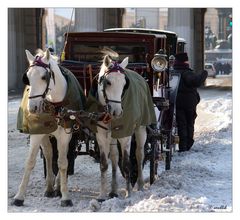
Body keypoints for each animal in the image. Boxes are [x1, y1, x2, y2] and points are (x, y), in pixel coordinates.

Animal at [12, 49, 85, 207]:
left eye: (44, 77)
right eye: (27, 77)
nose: (32, 108)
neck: (55, 105)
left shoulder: (65, 135)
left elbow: (63, 163)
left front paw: (65, 196)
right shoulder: (37, 133)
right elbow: (30, 162)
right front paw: (19, 196)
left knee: (64, 157)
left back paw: (58, 186)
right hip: (45, 134)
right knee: (49, 154)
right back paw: (50, 187)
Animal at [95, 50, 156, 201]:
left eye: (124, 84)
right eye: (108, 82)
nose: (117, 111)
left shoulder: (125, 135)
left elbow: (127, 164)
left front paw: (129, 193)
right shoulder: (101, 136)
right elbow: (104, 164)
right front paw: (102, 195)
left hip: (141, 128)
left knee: (139, 154)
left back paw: (140, 185)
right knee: (115, 157)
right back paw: (113, 190)